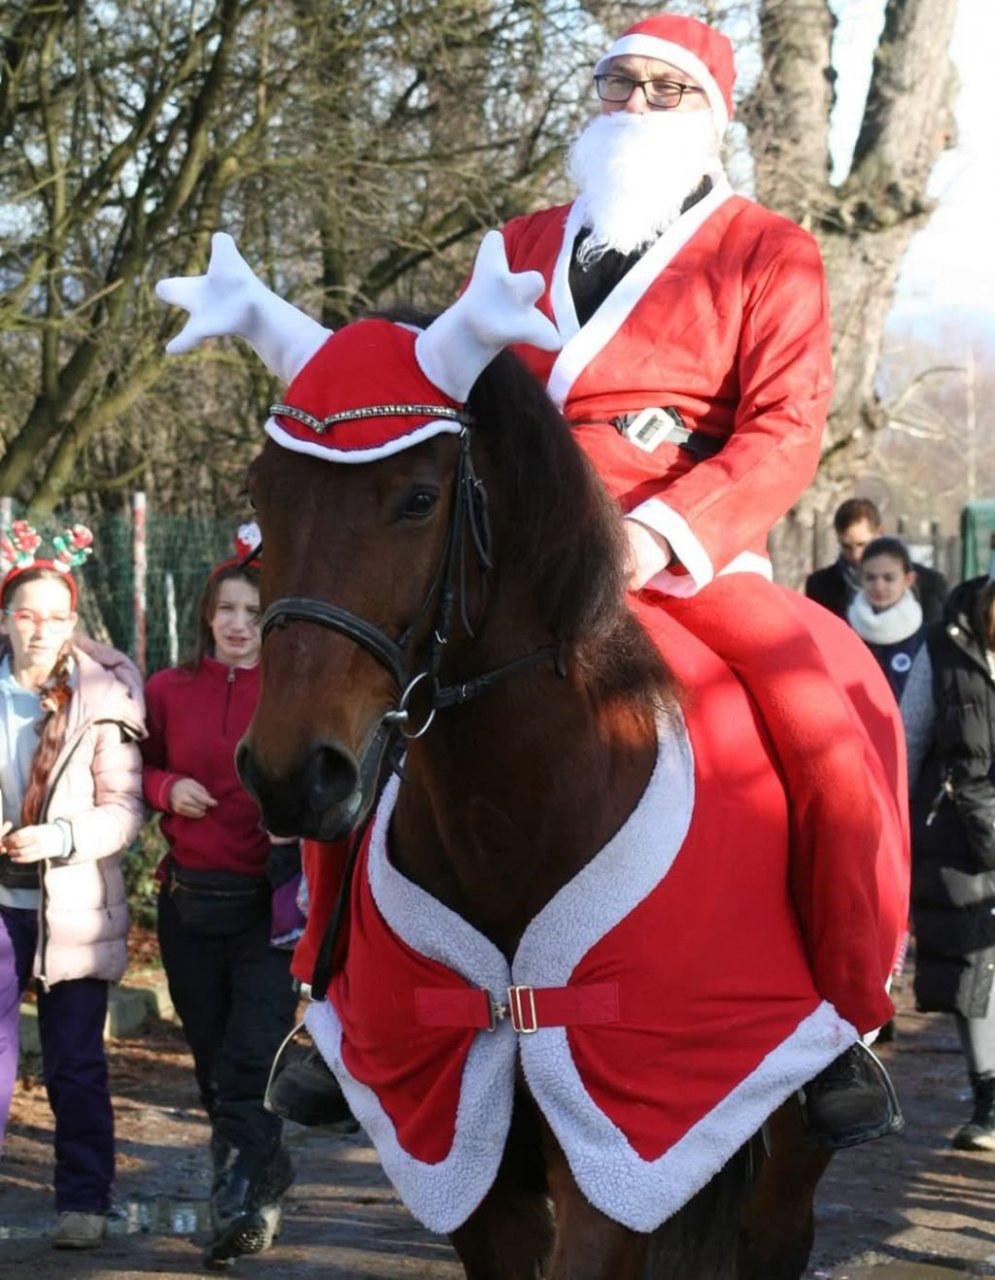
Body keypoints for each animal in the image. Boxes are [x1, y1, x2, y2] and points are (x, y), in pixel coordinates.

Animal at [234, 332, 829, 1280]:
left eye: (418, 499)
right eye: (262, 492)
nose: (292, 776)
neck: (515, 821)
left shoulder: (621, 1142)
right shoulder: (461, 1141)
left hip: (784, 1151)